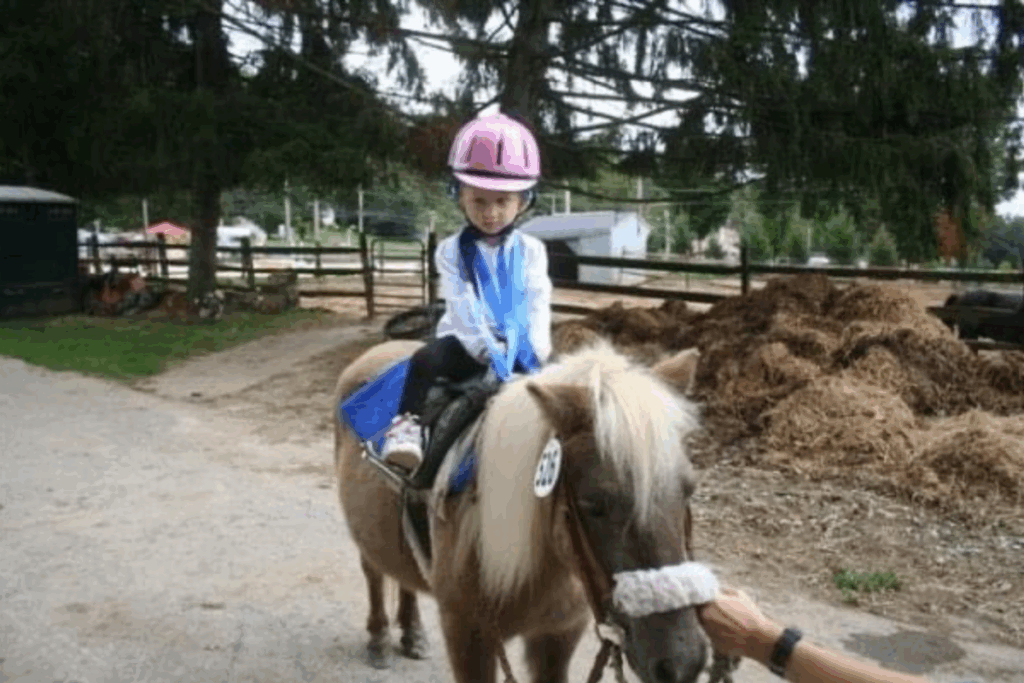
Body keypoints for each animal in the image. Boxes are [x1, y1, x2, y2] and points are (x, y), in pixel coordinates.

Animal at [333, 339, 707, 683]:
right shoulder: (468, 636)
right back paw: (379, 639)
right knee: (374, 573)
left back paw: (412, 635)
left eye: (688, 489)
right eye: (594, 503)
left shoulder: (558, 635)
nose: (681, 662)